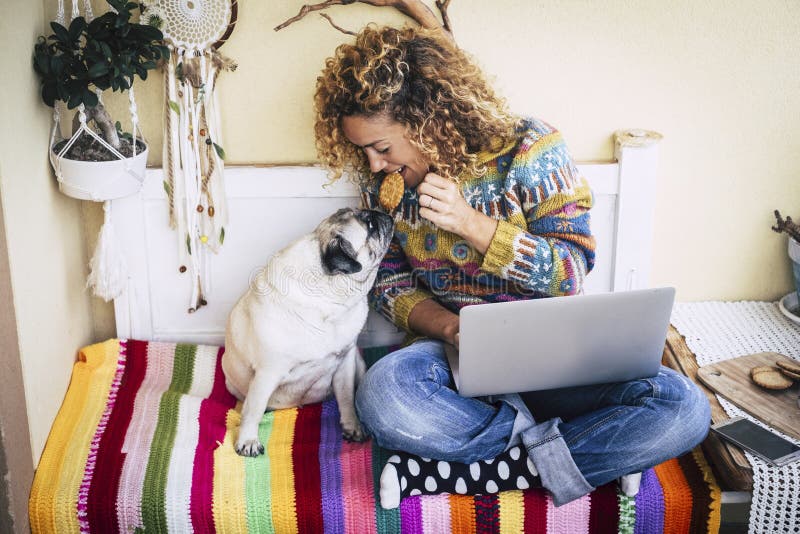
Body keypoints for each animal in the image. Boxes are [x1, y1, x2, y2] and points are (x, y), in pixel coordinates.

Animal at [223, 208, 392, 456]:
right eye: (370, 225)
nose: (383, 213)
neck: (331, 300)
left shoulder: (345, 362)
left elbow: (346, 398)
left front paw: (352, 426)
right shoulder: (267, 373)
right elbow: (253, 410)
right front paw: (248, 440)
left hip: (359, 364)